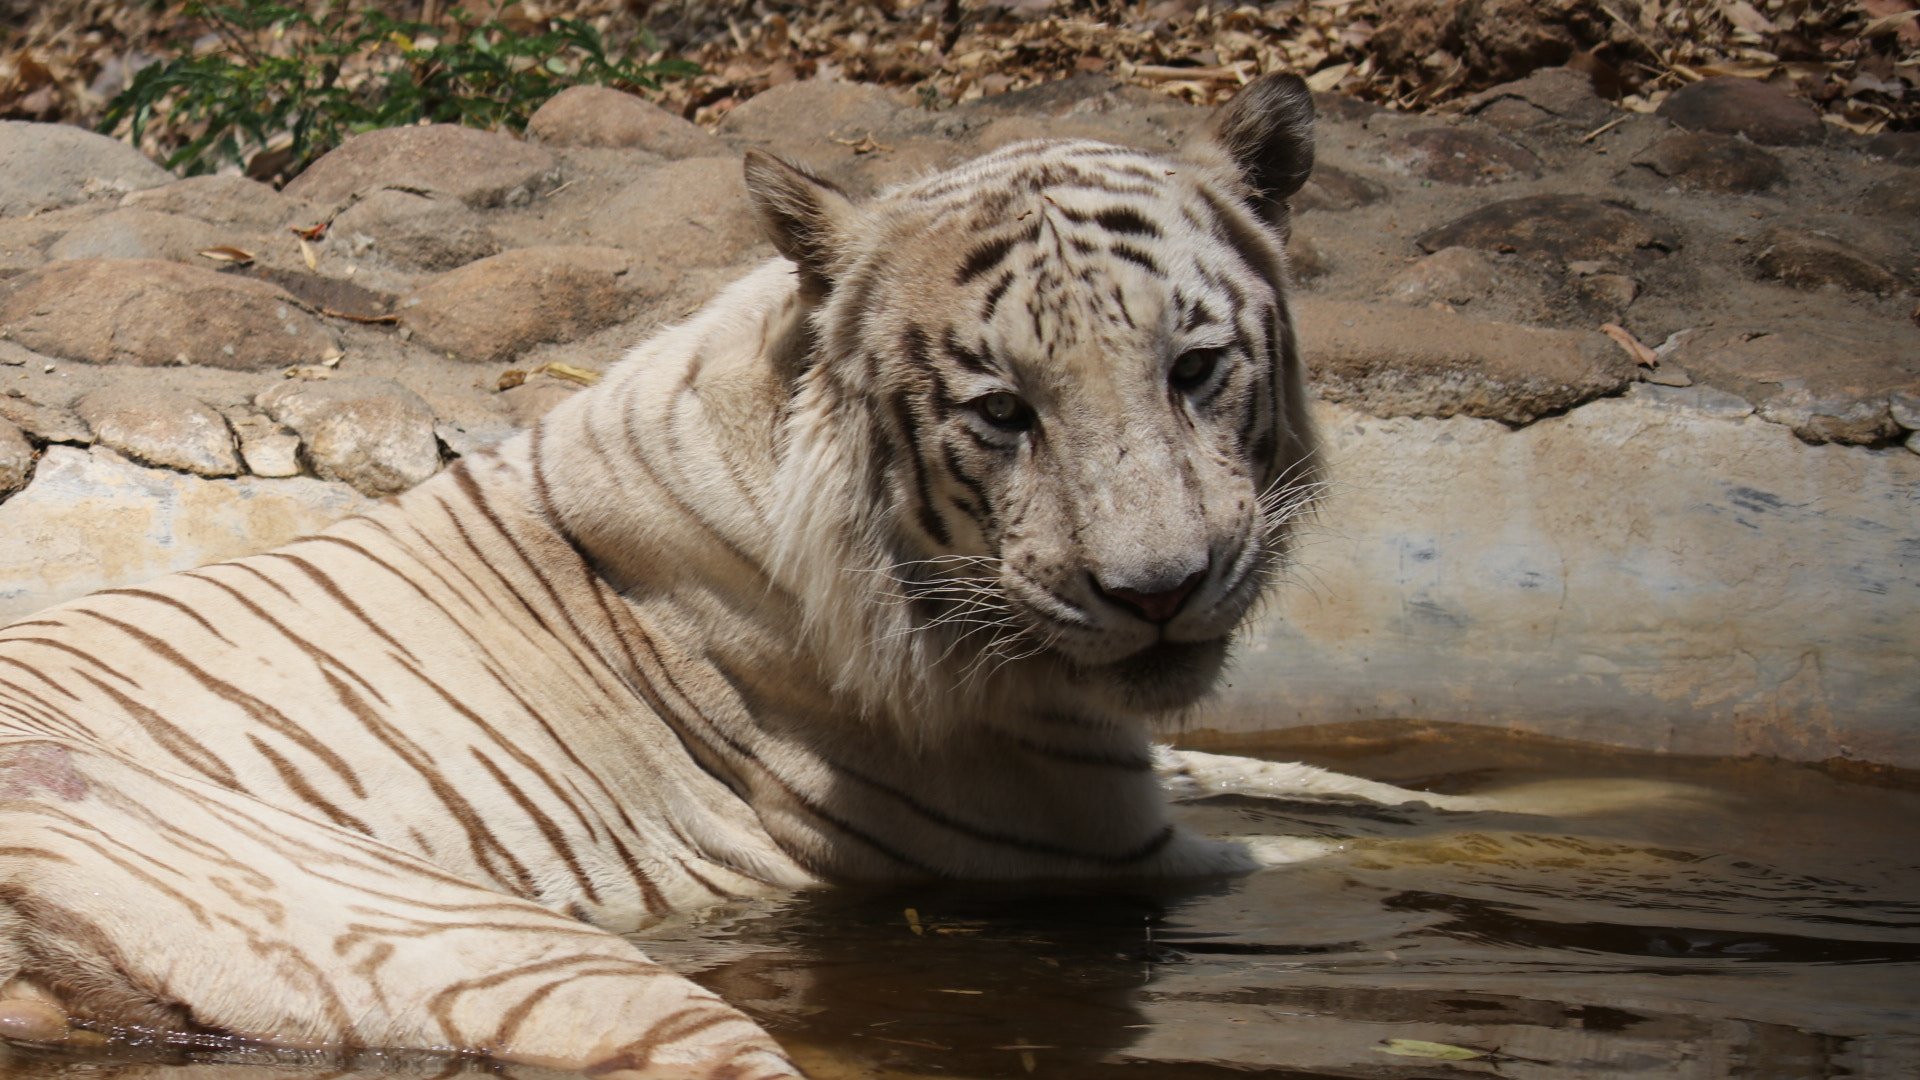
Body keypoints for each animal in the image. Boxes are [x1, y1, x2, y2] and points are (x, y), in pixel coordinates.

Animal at [0, 73, 1344, 1077]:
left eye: (1194, 368)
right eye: (1003, 411)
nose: (1160, 592)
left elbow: (1311, 785)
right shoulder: (1096, 845)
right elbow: (1313, 853)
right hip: (532, 955)